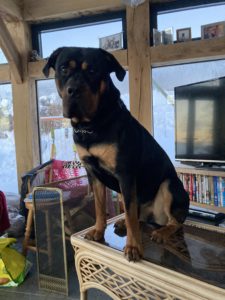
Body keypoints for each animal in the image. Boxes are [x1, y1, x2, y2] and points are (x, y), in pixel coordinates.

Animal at [43, 46, 189, 260]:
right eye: (63, 69)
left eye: (93, 71)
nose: (74, 90)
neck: (91, 125)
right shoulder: (93, 174)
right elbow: (100, 207)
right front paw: (98, 230)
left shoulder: (125, 174)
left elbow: (129, 214)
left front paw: (134, 247)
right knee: (138, 216)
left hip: (169, 186)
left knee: (174, 221)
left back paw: (162, 232)